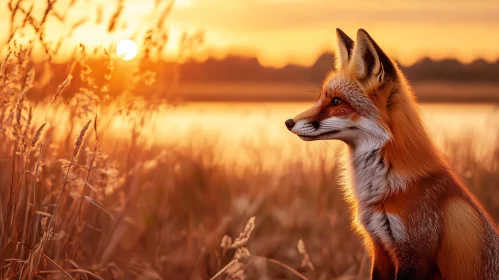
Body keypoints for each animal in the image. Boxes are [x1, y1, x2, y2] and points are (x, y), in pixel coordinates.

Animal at [286, 29, 499, 280]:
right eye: (321, 98)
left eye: (337, 101)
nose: (288, 122)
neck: (382, 190)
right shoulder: (380, 247)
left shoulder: (416, 256)